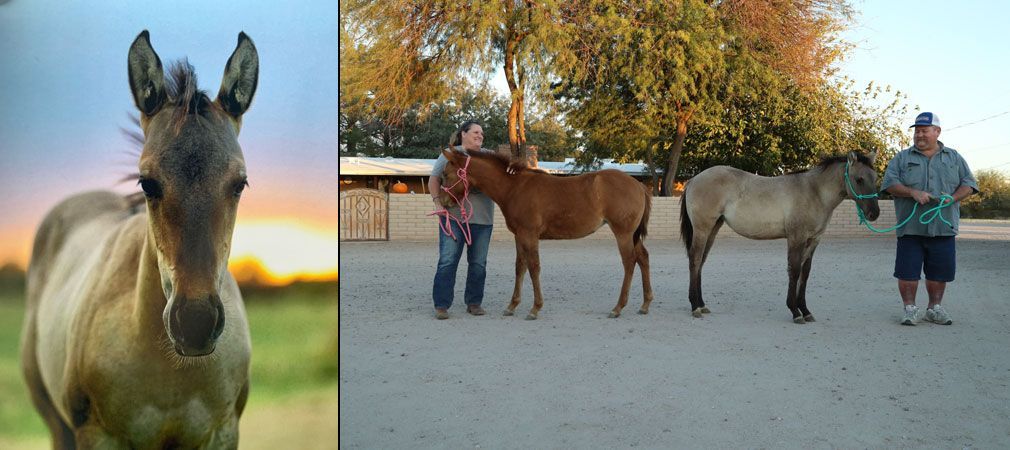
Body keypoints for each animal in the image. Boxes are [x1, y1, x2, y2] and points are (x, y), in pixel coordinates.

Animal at [20, 29, 258, 447]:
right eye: (147, 183)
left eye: (239, 184)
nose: (195, 322)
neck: (169, 372)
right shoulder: (97, 434)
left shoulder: (222, 432)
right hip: (56, 422)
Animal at [438, 149, 650, 318]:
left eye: (446, 174)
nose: (443, 201)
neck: (514, 188)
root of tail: (639, 185)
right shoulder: (519, 235)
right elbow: (520, 267)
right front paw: (512, 306)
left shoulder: (529, 234)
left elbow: (534, 267)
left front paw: (535, 308)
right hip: (633, 235)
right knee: (643, 258)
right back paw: (645, 305)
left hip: (623, 233)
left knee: (629, 262)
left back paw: (618, 307)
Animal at [682, 151, 880, 322]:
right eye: (859, 179)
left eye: (875, 178)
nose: (874, 213)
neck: (814, 192)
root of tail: (694, 179)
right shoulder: (796, 238)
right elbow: (794, 271)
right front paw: (795, 312)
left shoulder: (813, 241)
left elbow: (805, 273)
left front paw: (806, 311)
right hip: (702, 229)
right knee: (695, 260)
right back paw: (695, 307)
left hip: (713, 228)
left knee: (701, 262)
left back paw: (702, 304)